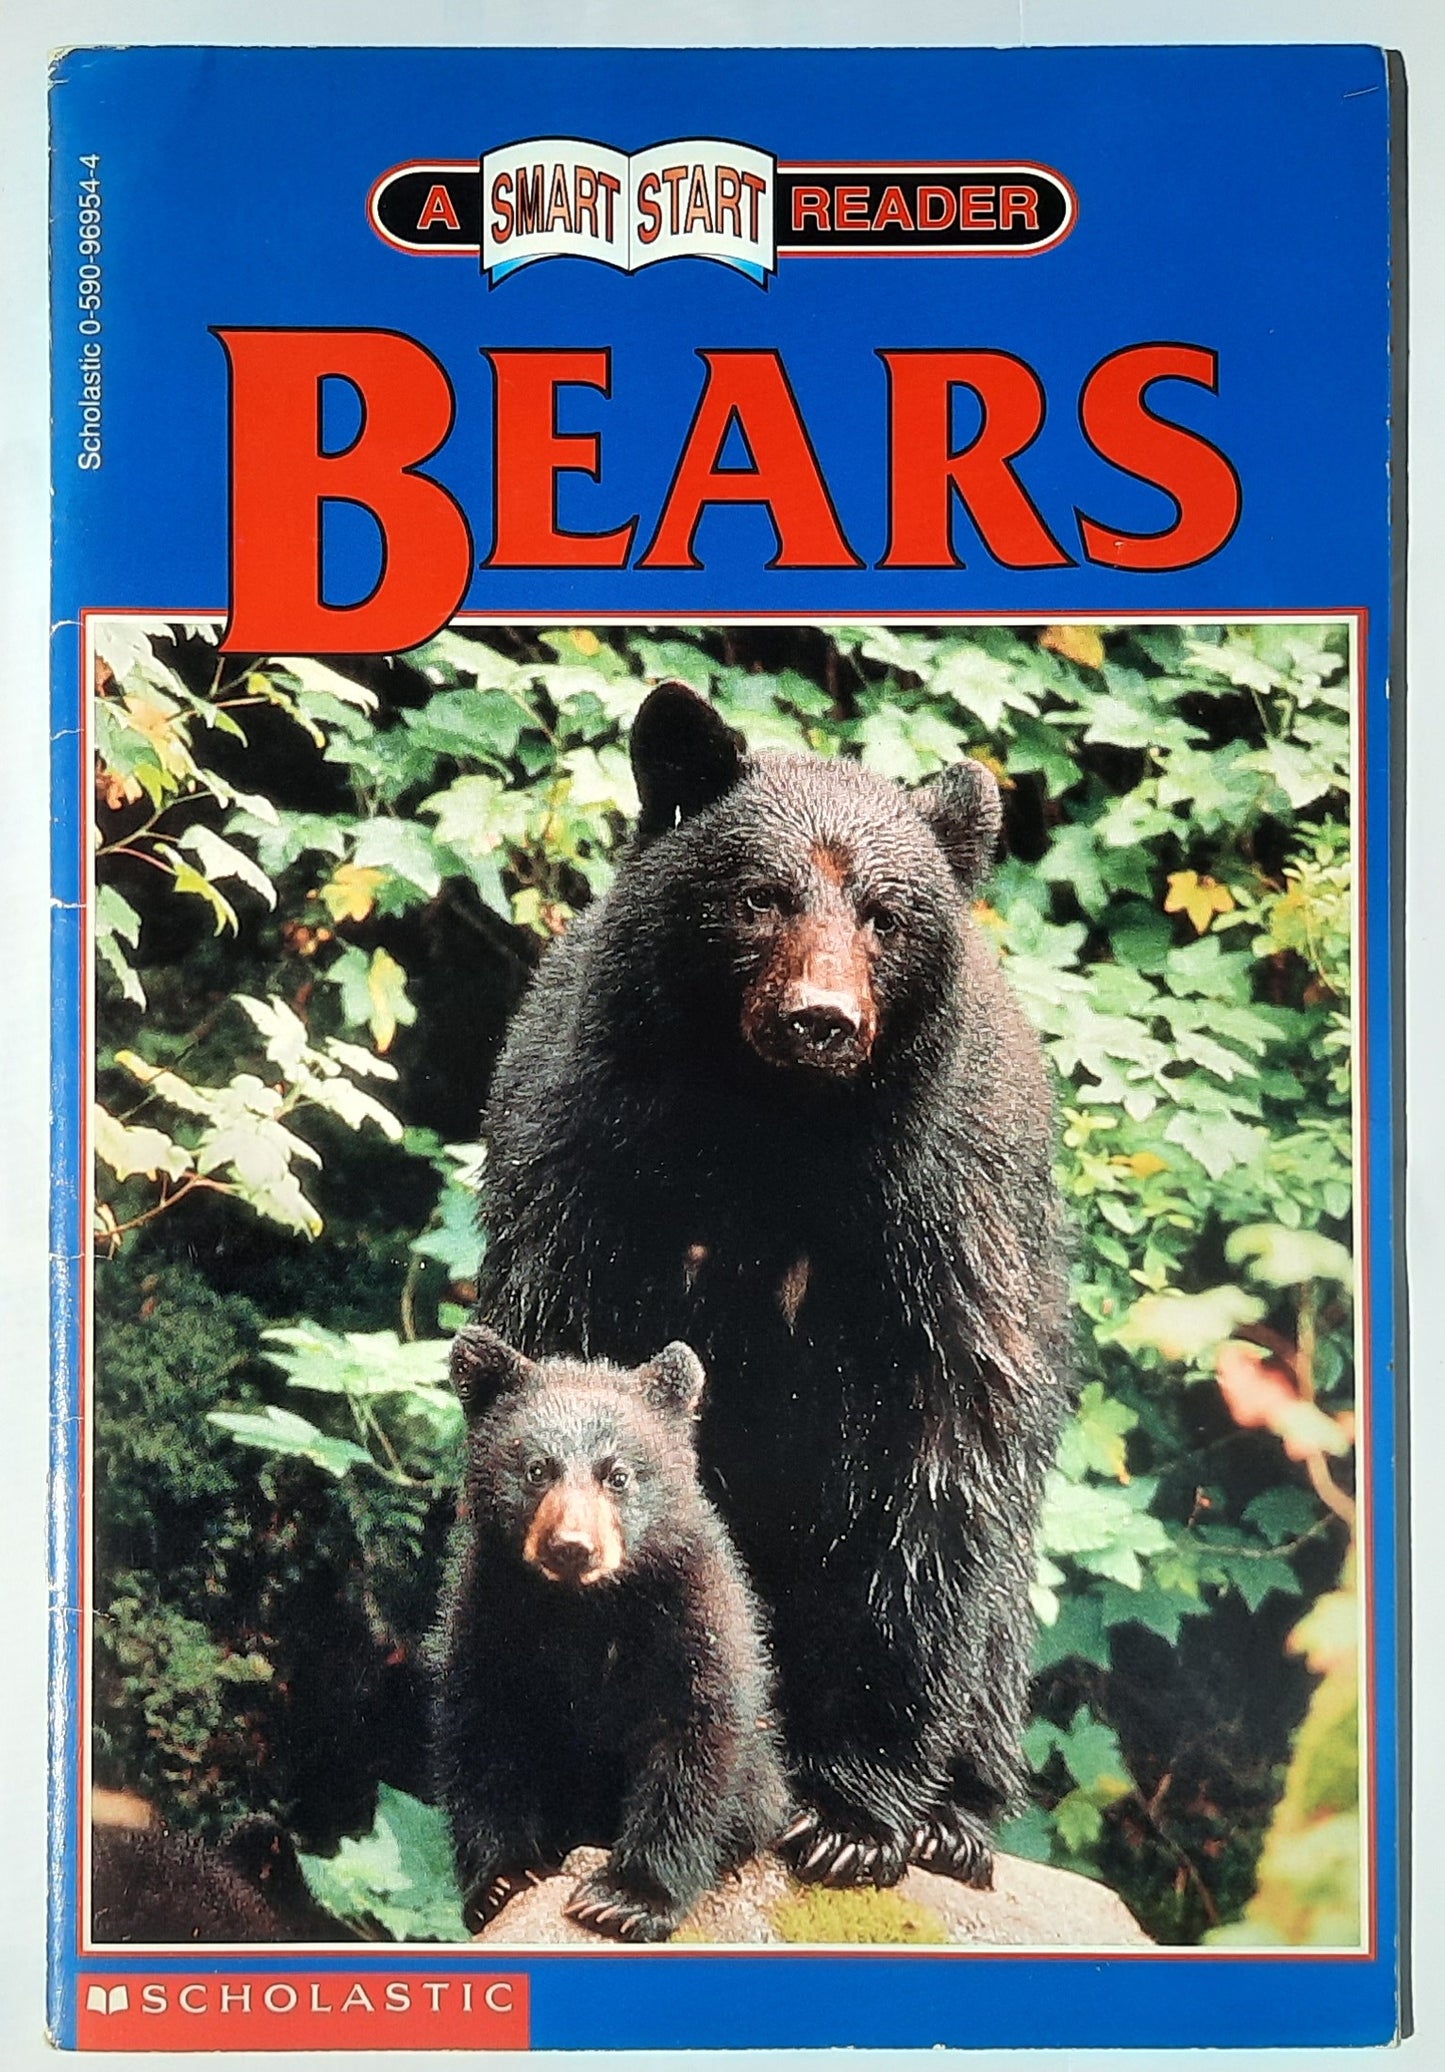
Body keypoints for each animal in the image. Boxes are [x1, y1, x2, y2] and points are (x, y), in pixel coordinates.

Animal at [432, 1323, 789, 1942]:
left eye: (617, 1475)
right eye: (538, 1468)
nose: (572, 1548)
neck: (584, 1609)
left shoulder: (691, 1614)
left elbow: (695, 1741)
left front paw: (625, 1898)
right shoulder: (492, 1613)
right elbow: (482, 1732)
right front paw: (503, 1879)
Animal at [476, 681, 1071, 1893]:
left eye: (885, 914)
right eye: (760, 896)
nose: (820, 1018)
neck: (774, 1138)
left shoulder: (938, 1225)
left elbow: (934, 1471)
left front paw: (851, 1812)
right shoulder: (590, 1178)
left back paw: (956, 1817)